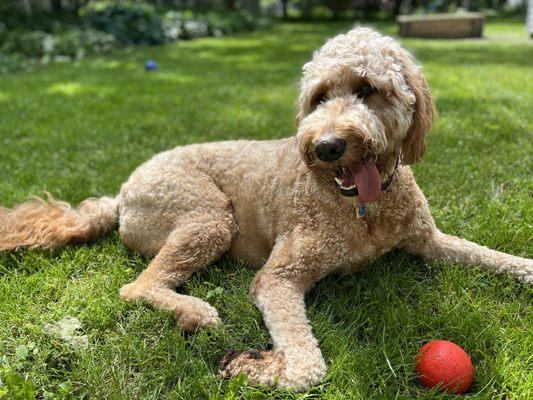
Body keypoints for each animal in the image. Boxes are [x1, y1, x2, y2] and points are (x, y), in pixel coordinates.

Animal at [0, 28, 528, 390]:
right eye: (318, 97)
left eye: (367, 89)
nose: (328, 146)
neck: (365, 210)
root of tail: (122, 193)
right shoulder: (278, 278)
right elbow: (308, 366)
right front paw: (254, 367)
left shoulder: (429, 240)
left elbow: (493, 256)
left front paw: (523, 268)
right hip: (209, 217)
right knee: (138, 287)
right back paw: (194, 312)